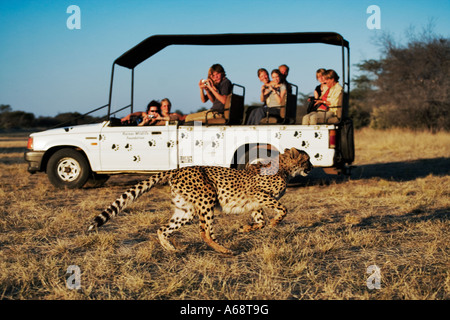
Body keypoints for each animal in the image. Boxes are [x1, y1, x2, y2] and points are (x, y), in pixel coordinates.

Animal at [88, 148, 312, 255]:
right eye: (307, 159)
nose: (311, 166)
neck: (284, 168)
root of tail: (177, 169)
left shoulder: (256, 203)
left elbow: (260, 222)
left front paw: (245, 228)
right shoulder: (258, 194)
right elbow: (283, 209)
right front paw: (275, 222)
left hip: (186, 211)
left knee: (162, 229)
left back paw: (170, 248)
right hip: (207, 198)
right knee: (204, 232)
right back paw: (225, 250)